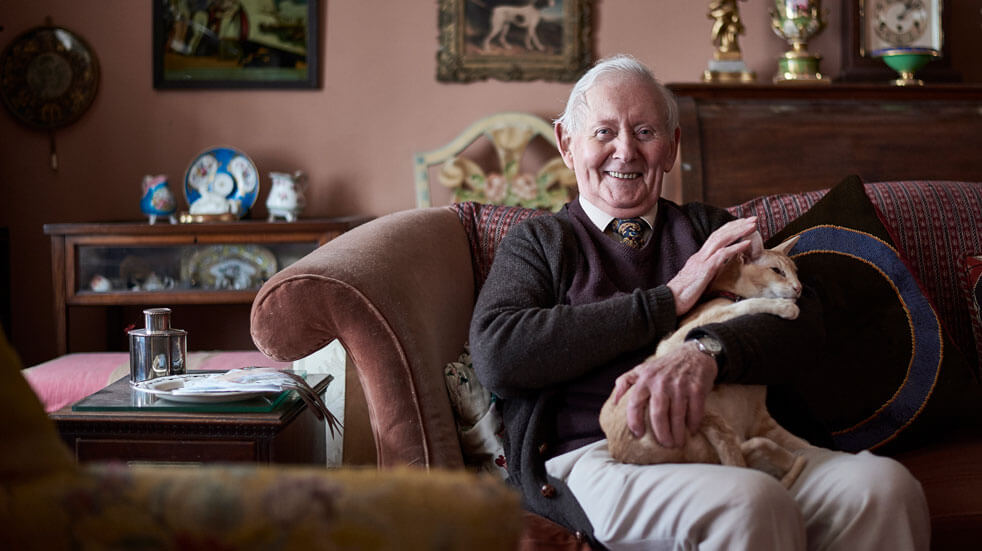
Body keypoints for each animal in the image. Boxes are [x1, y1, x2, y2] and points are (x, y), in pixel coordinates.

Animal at [600, 235, 816, 490]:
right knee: (747, 453)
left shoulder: (761, 418)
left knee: (774, 451)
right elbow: (747, 304)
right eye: (777, 271)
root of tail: (618, 451)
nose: (799, 288)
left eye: (796, 273)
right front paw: (784, 308)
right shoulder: (678, 339)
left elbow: (803, 443)